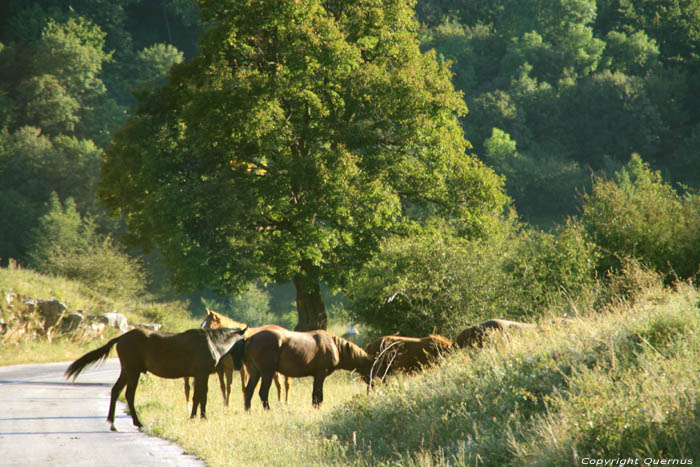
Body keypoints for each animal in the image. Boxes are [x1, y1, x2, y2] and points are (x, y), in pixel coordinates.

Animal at [63, 326, 249, 432]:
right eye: (244, 342)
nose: (239, 366)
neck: (211, 342)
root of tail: (121, 338)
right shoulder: (201, 374)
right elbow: (198, 397)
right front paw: (194, 417)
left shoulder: (201, 376)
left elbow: (203, 397)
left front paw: (202, 417)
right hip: (133, 372)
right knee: (129, 395)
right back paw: (137, 422)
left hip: (127, 371)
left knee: (116, 391)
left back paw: (113, 423)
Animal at [230, 328, 374, 412]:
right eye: (372, 368)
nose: (373, 385)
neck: (334, 346)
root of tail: (249, 339)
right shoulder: (320, 375)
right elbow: (318, 396)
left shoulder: (317, 376)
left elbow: (316, 396)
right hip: (267, 373)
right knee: (263, 392)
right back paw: (268, 410)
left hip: (255, 373)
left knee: (248, 391)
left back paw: (247, 411)